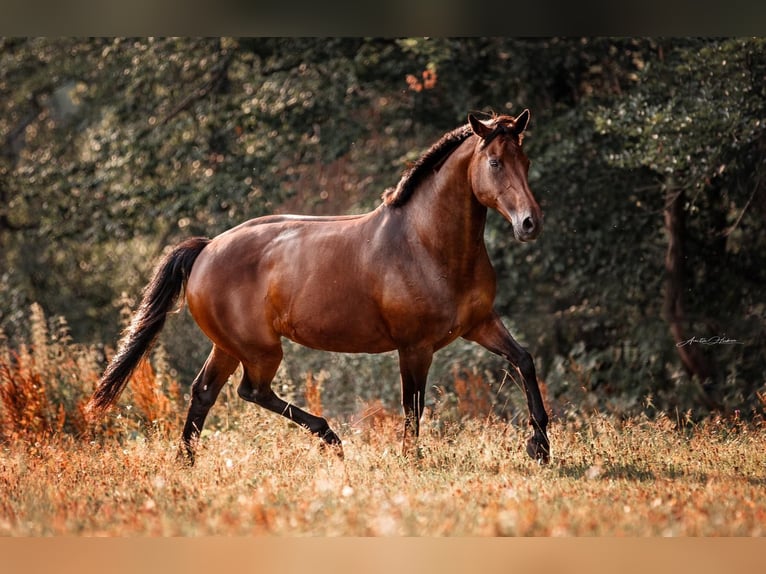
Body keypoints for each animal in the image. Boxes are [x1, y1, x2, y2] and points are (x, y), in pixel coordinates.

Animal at [85, 110, 552, 466]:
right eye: (495, 163)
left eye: (526, 161)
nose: (530, 224)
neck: (426, 243)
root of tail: (207, 248)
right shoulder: (414, 347)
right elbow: (413, 407)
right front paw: (412, 459)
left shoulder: (480, 324)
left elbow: (524, 361)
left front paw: (540, 447)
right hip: (260, 350)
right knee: (250, 391)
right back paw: (331, 439)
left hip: (229, 346)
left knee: (204, 393)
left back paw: (186, 461)